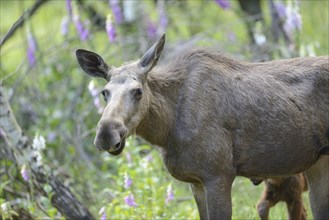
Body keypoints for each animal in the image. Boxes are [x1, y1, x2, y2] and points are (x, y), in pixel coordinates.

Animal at [75, 33, 326, 219]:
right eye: (104, 92)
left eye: (138, 91)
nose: (106, 134)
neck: (167, 131)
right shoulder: (195, 182)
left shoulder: (219, 175)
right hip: (318, 164)